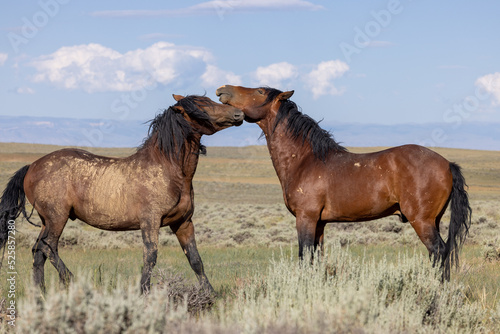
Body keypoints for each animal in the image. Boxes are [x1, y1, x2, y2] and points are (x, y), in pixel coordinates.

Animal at [0, 94, 243, 292]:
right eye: (201, 106)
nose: (238, 113)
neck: (169, 169)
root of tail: (32, 166)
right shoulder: (150, 221)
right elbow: (150, 257)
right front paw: (143, 291)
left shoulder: (183, 222)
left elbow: (195, 260)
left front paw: (210, 296)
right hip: (57, 218)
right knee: (47, 247)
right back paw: (73, 281)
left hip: (46, 221)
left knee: (38, 252)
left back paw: (39, 293)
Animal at [217, 85, 470, 280]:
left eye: (259, 91)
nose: (223, 89)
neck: (305, 160)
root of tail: (447, 164)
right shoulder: (319, 224)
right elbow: (316, 258)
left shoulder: (305, 219)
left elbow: (304, 256)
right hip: (433, 220)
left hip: (422, 221)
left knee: (438, 252)